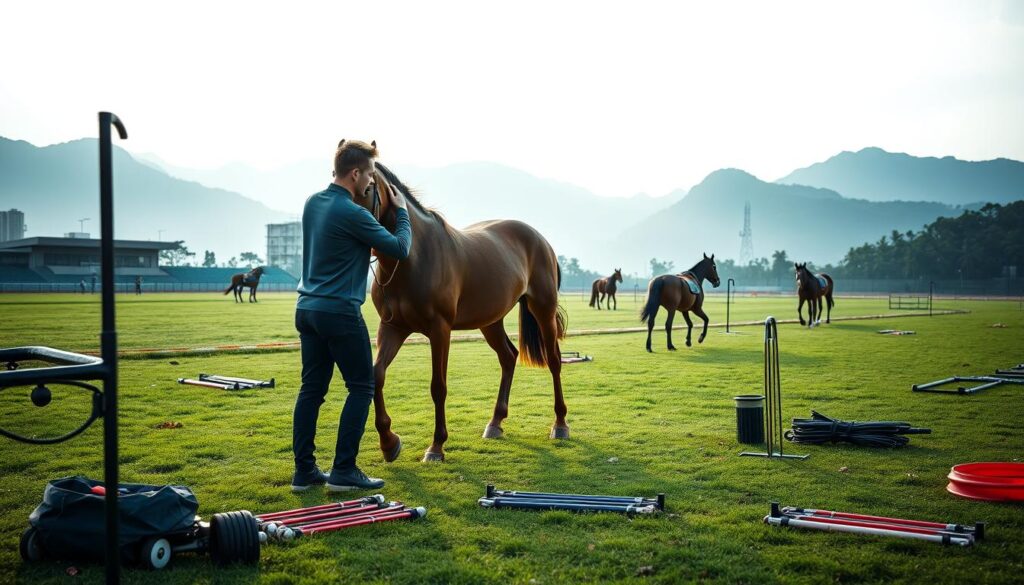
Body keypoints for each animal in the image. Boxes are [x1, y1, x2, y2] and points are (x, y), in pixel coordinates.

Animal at [362, 158, 569, 463]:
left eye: (365, 188)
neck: (412, 257)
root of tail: (541, 240)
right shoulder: (392, 327)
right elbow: (376, 376)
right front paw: (389, 443)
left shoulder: (440, 330)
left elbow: (438, 387)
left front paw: (436, 447)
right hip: (490, 321)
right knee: (508, 357)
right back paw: (495, 423)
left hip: (542, 309)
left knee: (554, 360)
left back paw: (560, 424)